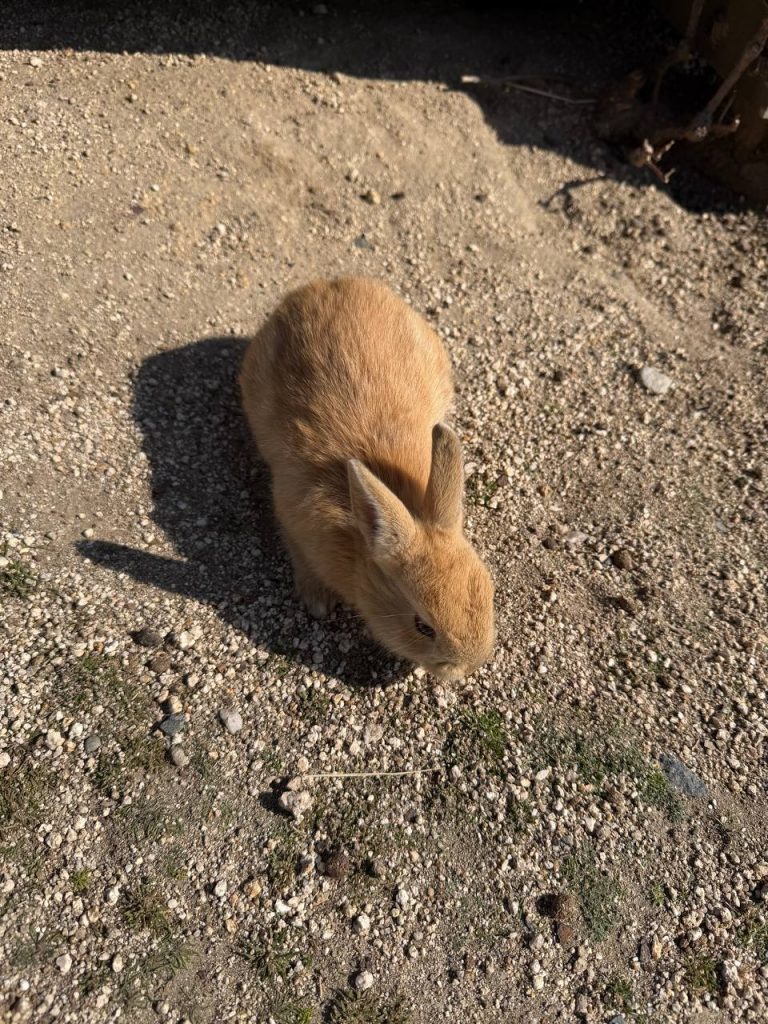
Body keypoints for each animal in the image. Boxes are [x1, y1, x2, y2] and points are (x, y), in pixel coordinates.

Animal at [239, 276, 494, 680]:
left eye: (488, 590)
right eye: (423, 626)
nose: (469, 665)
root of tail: (326, 284)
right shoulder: (292, 518)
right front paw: (317, 603)